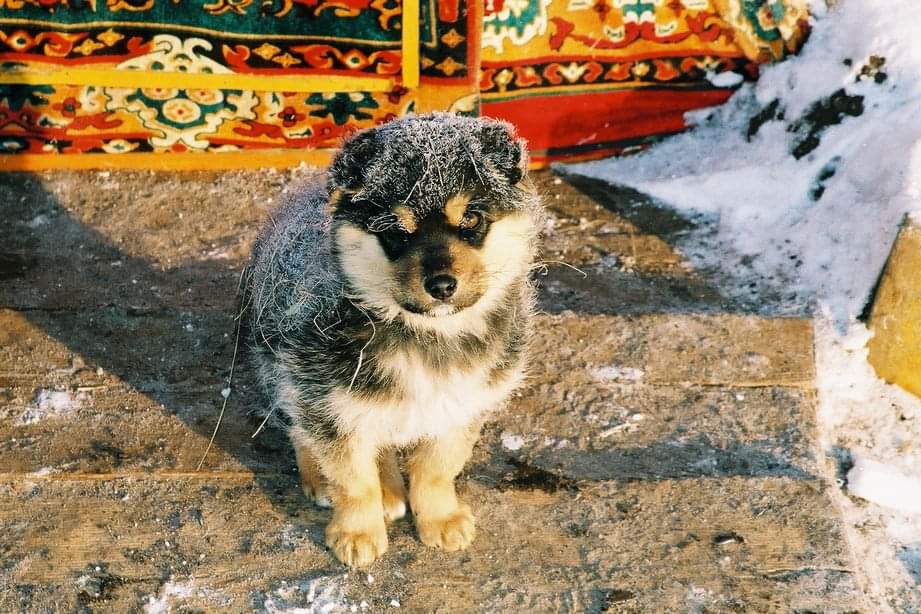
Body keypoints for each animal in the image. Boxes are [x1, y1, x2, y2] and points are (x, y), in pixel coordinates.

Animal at [244, 113, 544, 572]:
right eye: (394, 230)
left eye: (472, 219)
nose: (442, 286)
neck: (426, 335)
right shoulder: (326, 401)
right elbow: (353, 480)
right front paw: (356, 534)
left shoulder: (462, 402)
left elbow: (437, 468)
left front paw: (441, 520)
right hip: (278, 367)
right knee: (300, 429)